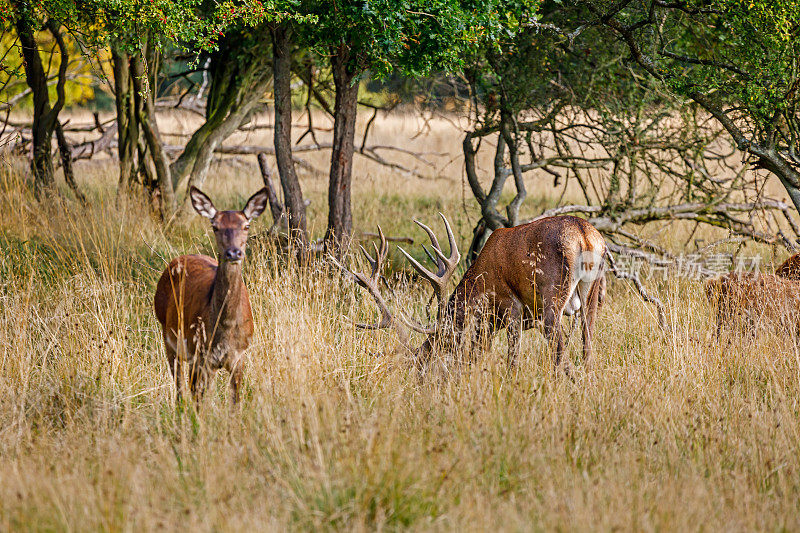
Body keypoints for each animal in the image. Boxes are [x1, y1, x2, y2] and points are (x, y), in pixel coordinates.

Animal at [153, 186, 268, 404]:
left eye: (246, 226)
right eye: (215, 226)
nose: (234, 252)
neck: (225, 329)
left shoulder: (239, 356)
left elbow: (235, 402)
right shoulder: (201, 355)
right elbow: (199, 401)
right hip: (169, 336)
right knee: (180, 387)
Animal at [336, 213, 608, 374]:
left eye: (424, 361)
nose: (421, 385)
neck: (480, 282)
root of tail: (585, 236)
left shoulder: (509, 306)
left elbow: (509, 357)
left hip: (552, 295)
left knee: (560, 350)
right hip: (593, 292)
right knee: (588, 345)